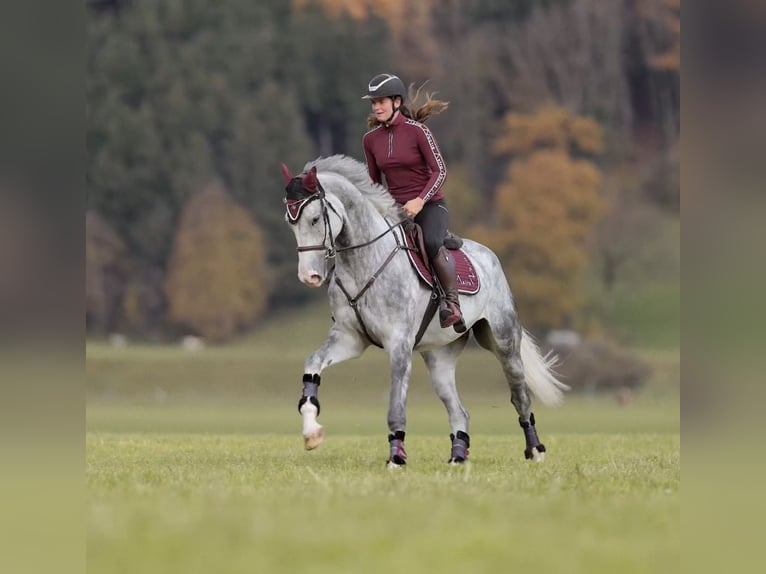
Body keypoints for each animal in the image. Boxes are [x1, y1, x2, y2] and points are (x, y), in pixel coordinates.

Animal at [281, 155, 568, 467]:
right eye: (290, 223)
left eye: (315, 218)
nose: (308, 276)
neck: (364, 262)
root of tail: (489, 256)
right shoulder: (350, 338)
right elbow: (312, 366)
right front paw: (312, 432)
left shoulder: (399, 343)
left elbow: (396, 405)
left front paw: (396, 458)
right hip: (440, 357)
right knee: (459, 411)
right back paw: (458, 456)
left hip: (503, 343)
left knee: (520, 396)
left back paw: (535, 450)